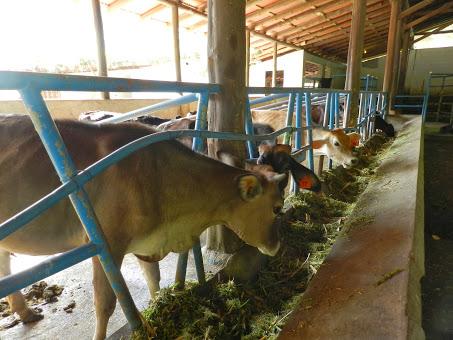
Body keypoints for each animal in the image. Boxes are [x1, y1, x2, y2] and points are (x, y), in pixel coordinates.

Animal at [0, 115, 286, 340]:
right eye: (277, 208)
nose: (277, 247)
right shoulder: (105, 245)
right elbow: (106, 303)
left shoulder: (147, 241)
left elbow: (154, 281)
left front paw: (158, 311)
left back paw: (26, 312)